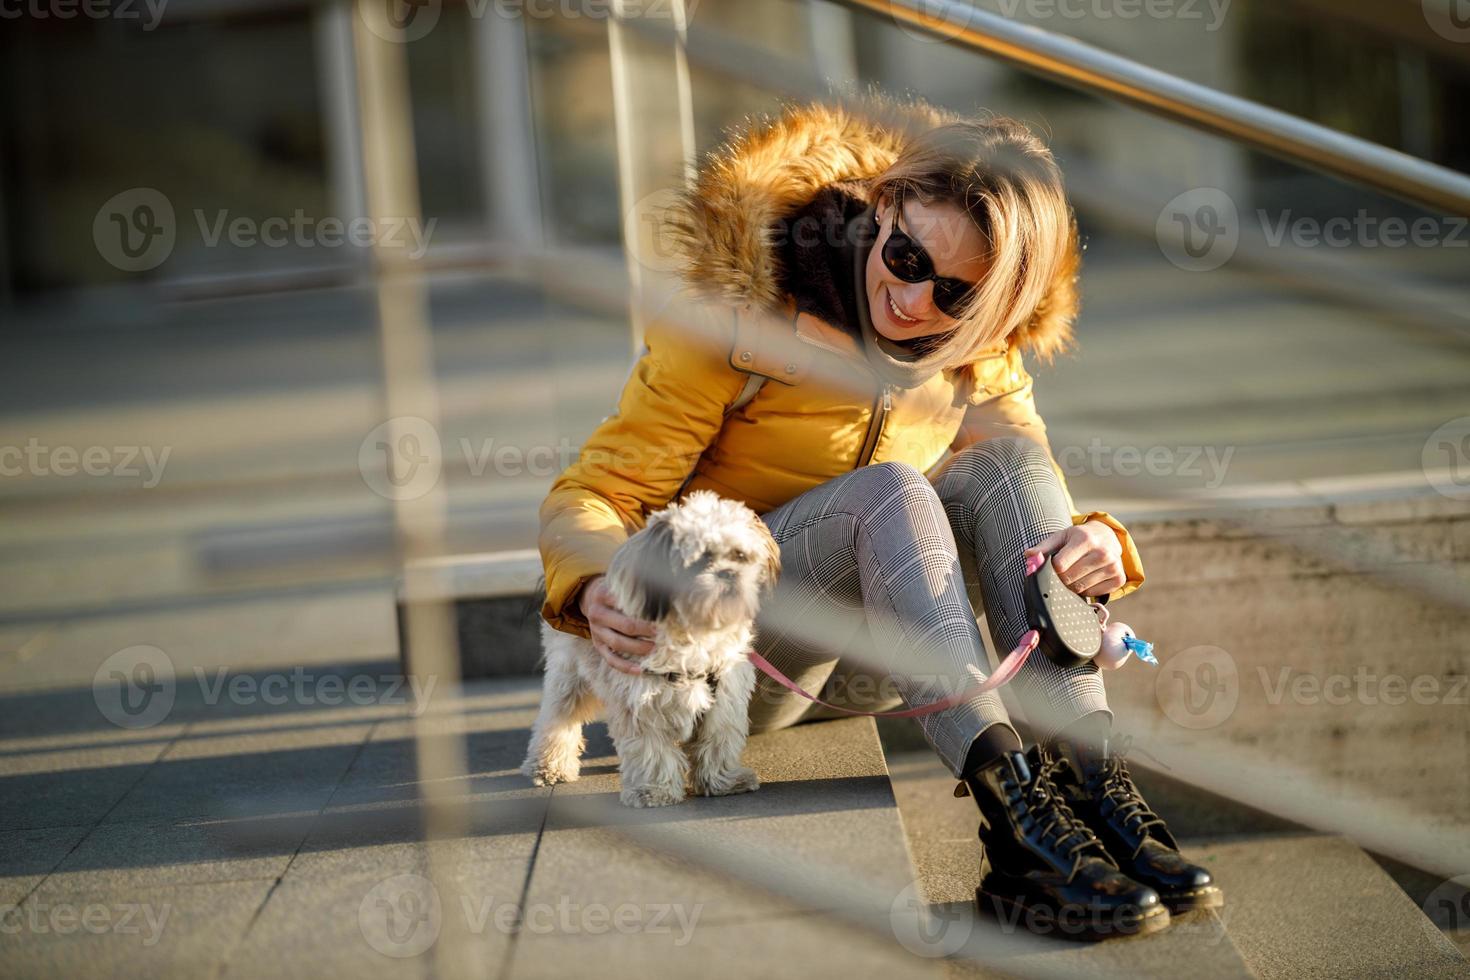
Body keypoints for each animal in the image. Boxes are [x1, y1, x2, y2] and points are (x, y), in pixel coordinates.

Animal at [526, 493, 782, 811]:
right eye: (700, 560)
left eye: (740, 556)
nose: (729, 574)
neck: (694, 630)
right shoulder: (641, 701)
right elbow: (653, 751)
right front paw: (654, 790)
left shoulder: (725, 696)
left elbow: (717, 740)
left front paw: (723, 780)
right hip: (569, 677)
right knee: (557, 719)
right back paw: (548, 766)